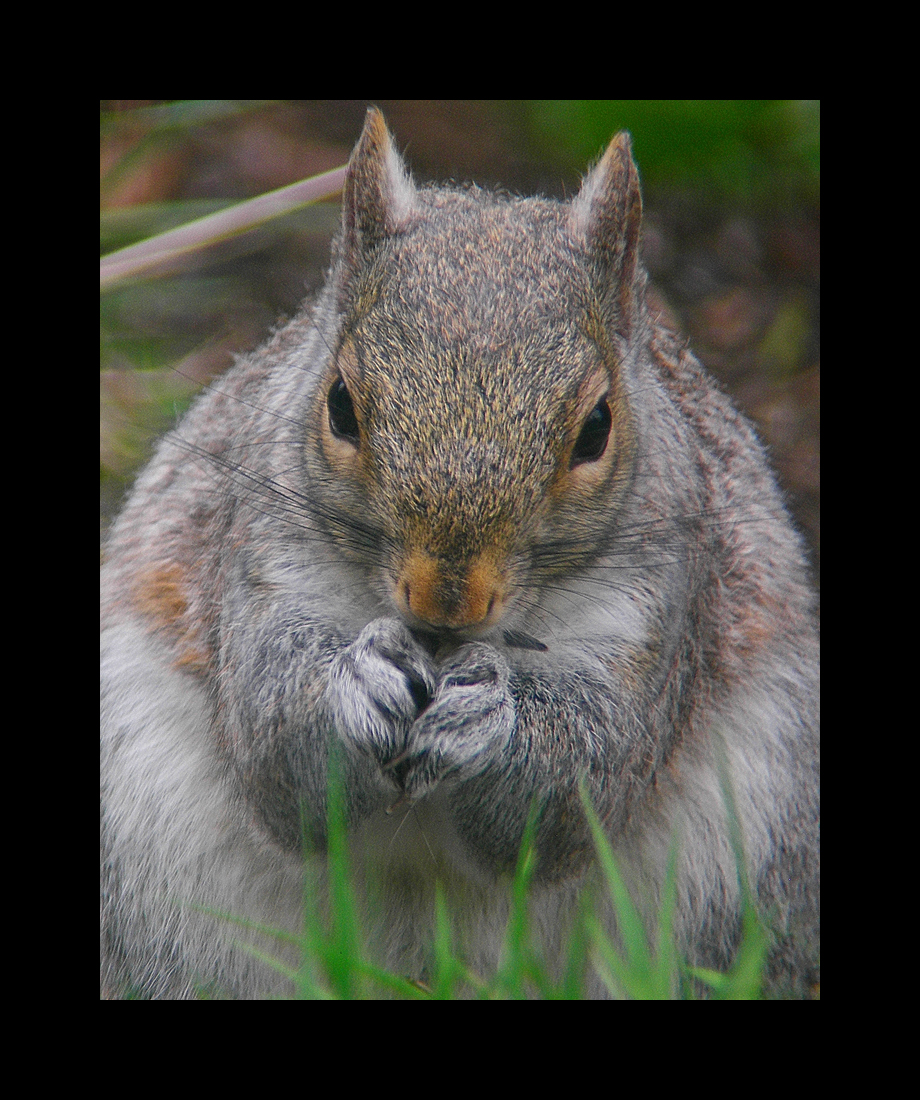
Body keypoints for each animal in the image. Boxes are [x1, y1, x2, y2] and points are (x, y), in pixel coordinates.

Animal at [100, 109, 818, 998]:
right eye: (340, 405)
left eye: (596, 429)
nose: (445, 600)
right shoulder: (258, 552)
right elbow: (276, 746)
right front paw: (355, 683)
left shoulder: (659, 613)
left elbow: (579, 787)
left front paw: (492, 718)